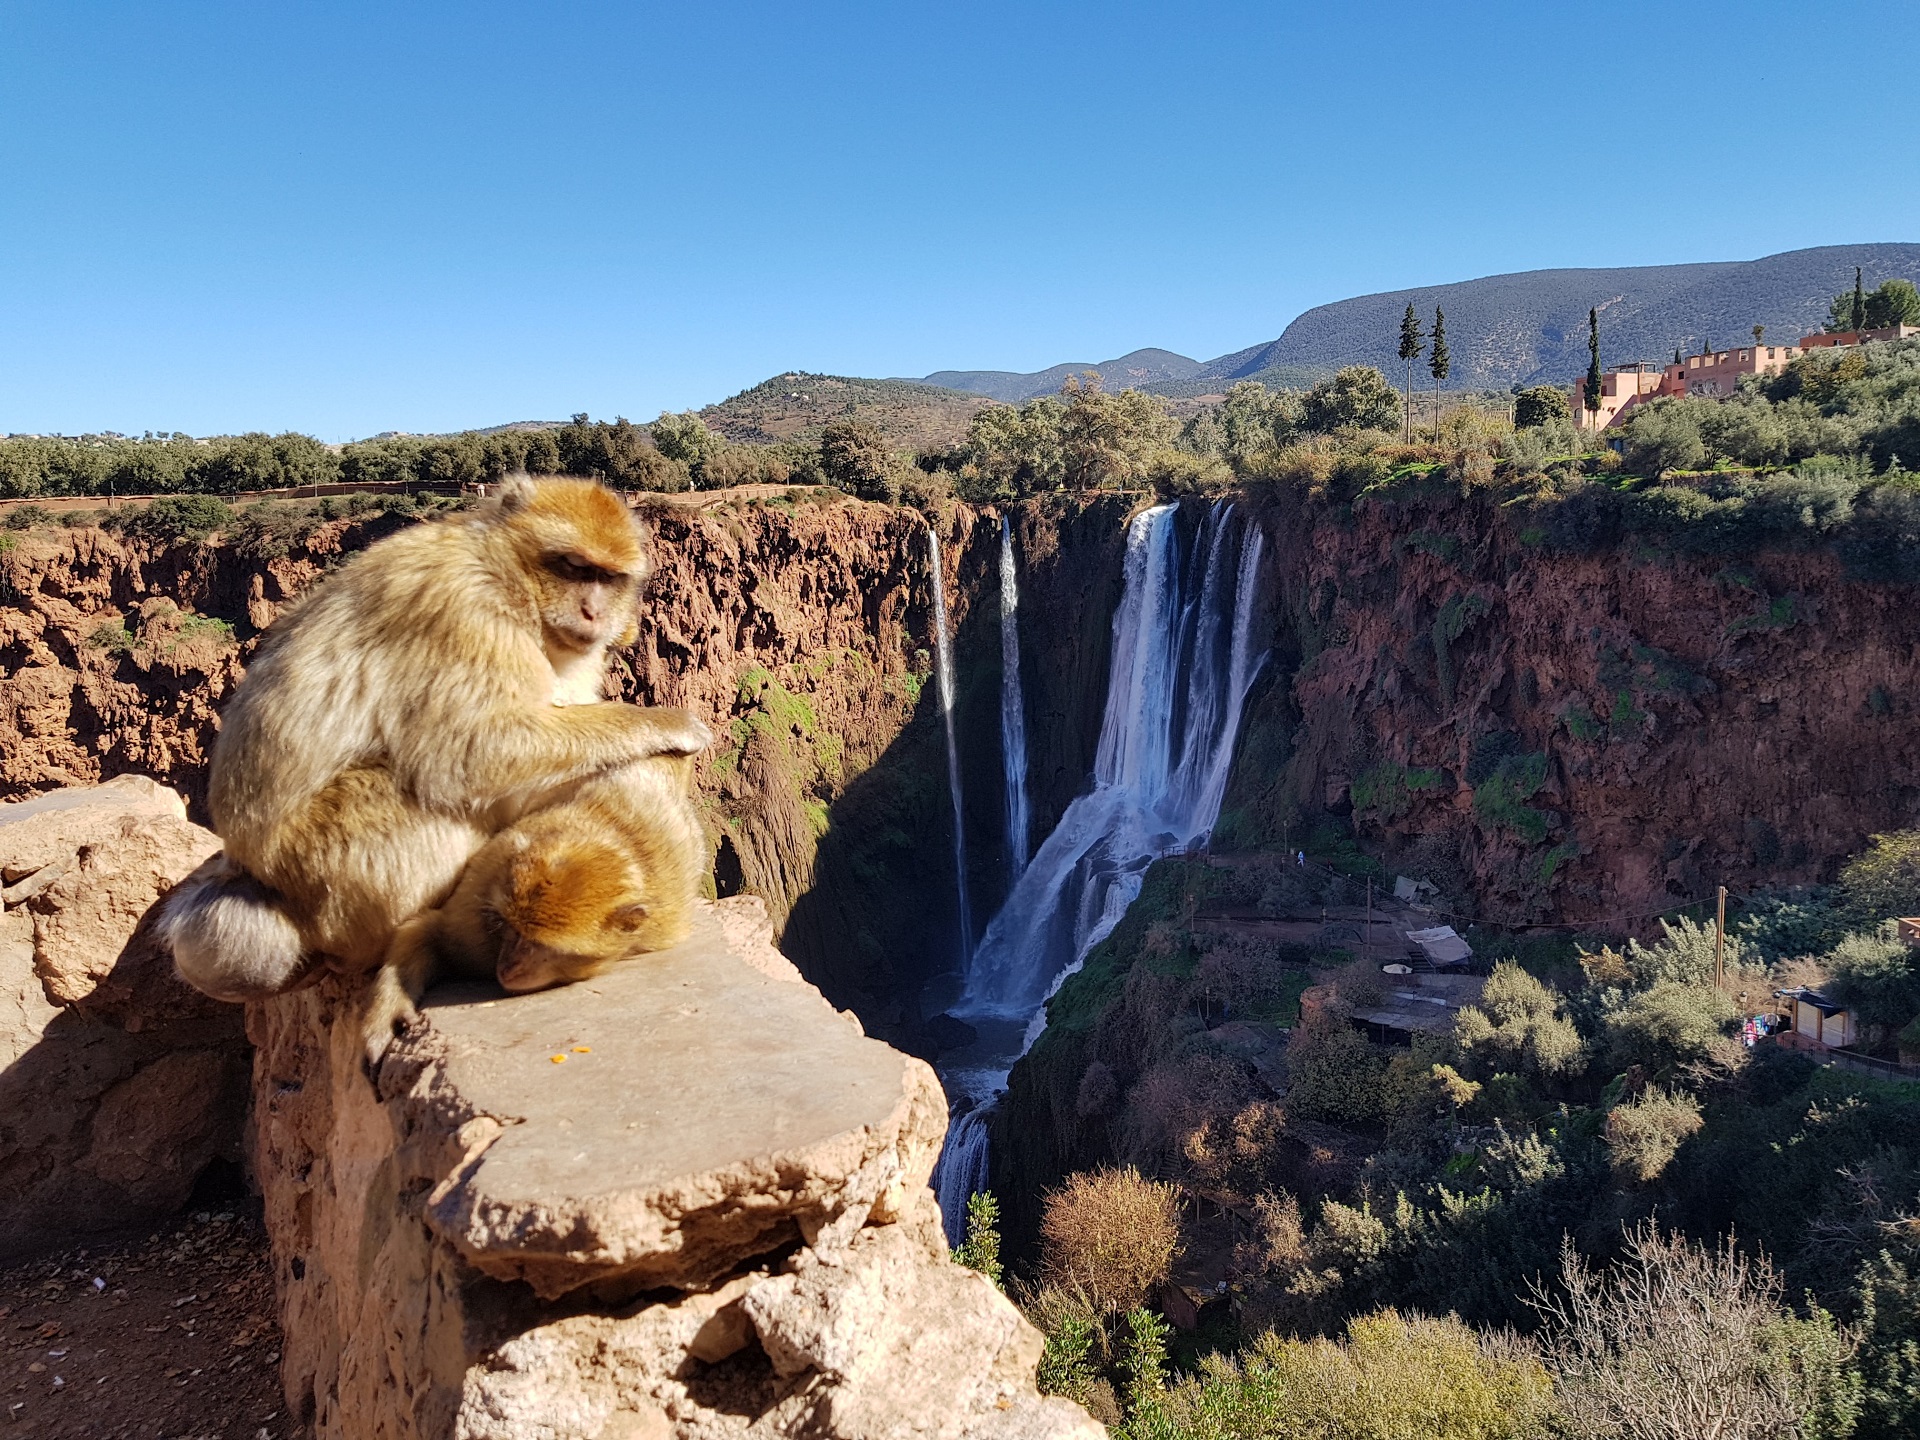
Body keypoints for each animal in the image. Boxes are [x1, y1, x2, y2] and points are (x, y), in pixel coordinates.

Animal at [161, 474, 710, 1006]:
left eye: (607, 578)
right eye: (573, 568)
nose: (595, 613)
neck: (507, 578)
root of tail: (250, 869)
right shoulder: (464, 613)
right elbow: (474, 752)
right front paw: (666, 723)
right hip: (323, 870)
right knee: (426, 801)